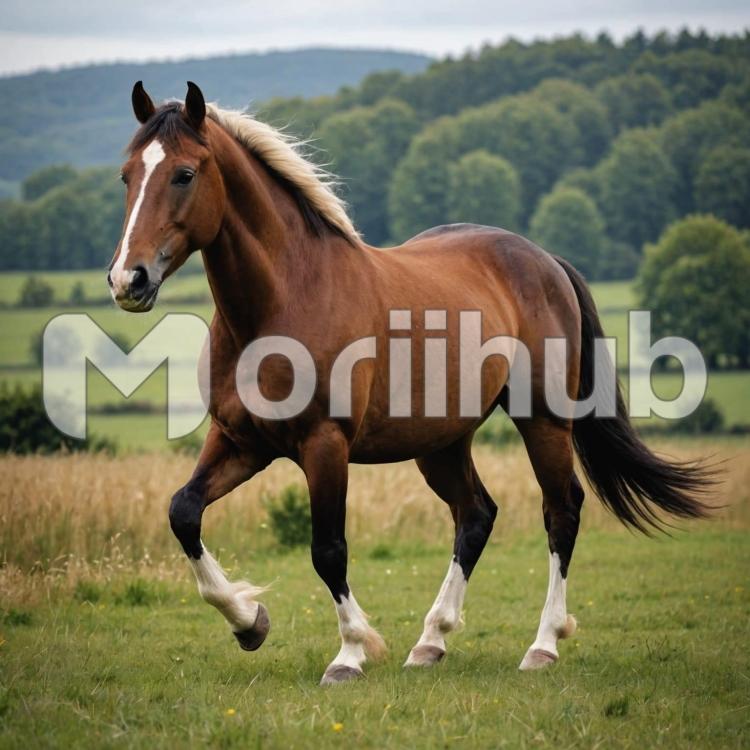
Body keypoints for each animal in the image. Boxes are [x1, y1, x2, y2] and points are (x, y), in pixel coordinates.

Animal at [107, 81, 711, 685]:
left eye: (184, 174)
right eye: (127, 175)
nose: (127, 279)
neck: (285, 299)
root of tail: (544, 261)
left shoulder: (324, 445)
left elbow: (328, 549)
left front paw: (350, 652)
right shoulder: (241, 443)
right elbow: (184, 512)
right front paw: (249, 622)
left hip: (542, 421)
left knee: (560, 512)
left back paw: (542, 645)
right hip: (441, 442)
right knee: (475, 515)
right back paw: (431, 640)